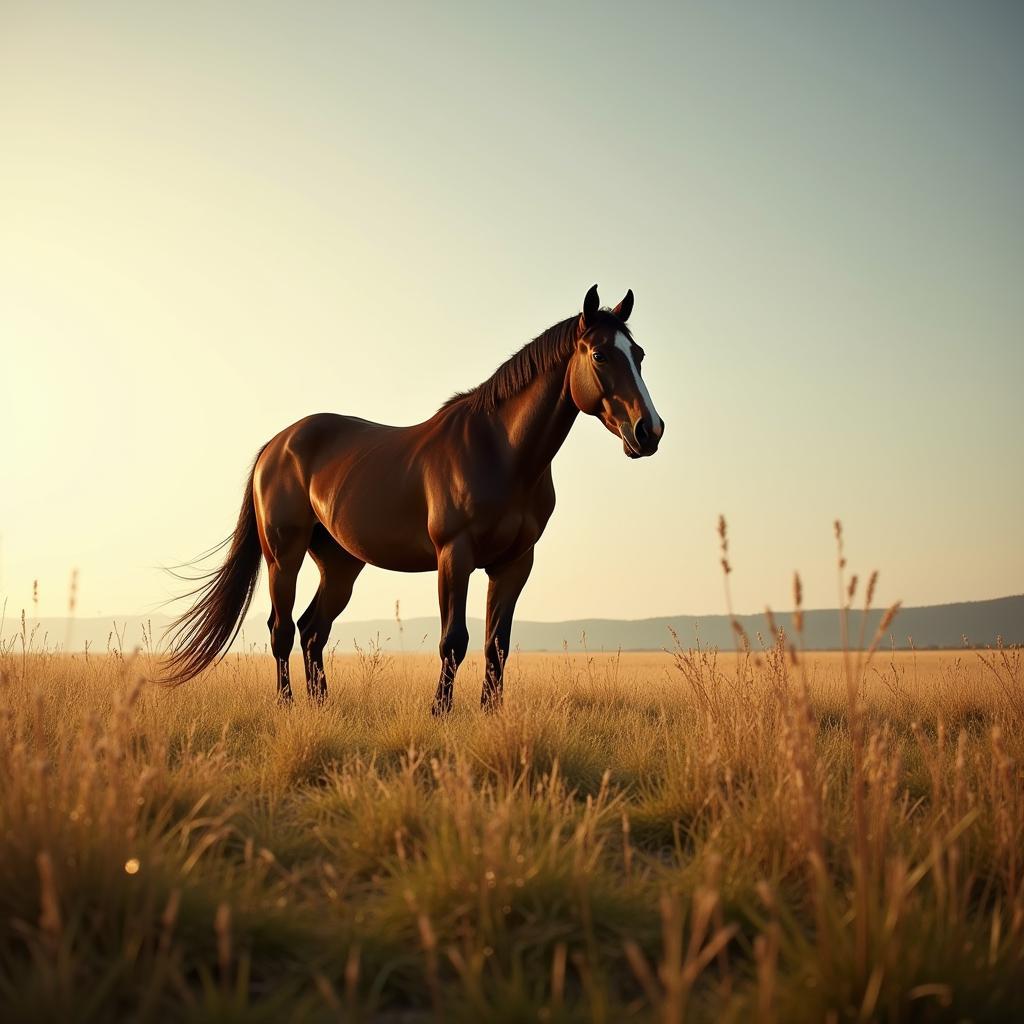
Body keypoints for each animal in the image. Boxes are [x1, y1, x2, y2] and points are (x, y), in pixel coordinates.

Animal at [163, 284, 663, 708]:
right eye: (599, 354)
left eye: (638, 354)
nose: (649, 431)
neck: (501, 451)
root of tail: (276, 444)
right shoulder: (454, 556)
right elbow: (454, 641)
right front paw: (440, 712)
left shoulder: (515, 563)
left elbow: (496, 645)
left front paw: (490, 714)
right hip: (283, 556)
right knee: (282, 630)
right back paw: (287, 706)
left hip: (340, 564)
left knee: (312, 630)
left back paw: (321, 706)